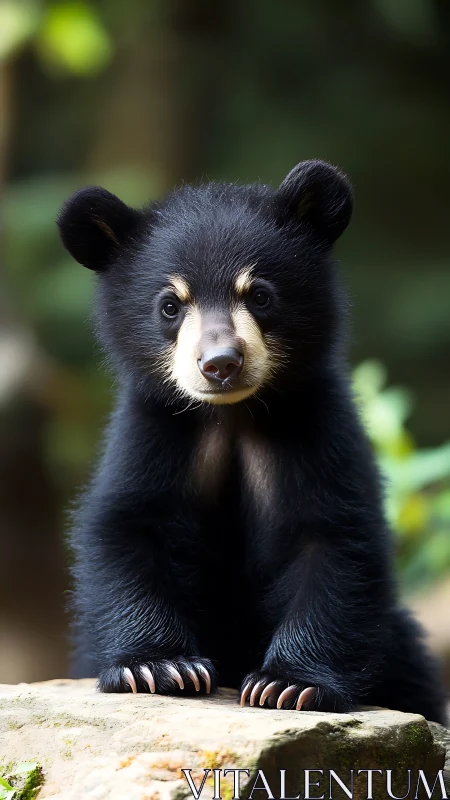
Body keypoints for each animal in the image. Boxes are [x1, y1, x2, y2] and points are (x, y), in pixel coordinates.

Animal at [57, 160, 447, 723]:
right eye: (170, 305)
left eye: (259, 295)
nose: (220, 363)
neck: (233, 415)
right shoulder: (154, 432)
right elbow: (126, 526)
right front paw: (159, 667)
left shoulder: (317, 430)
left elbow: (334, 541)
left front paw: (287, 685)